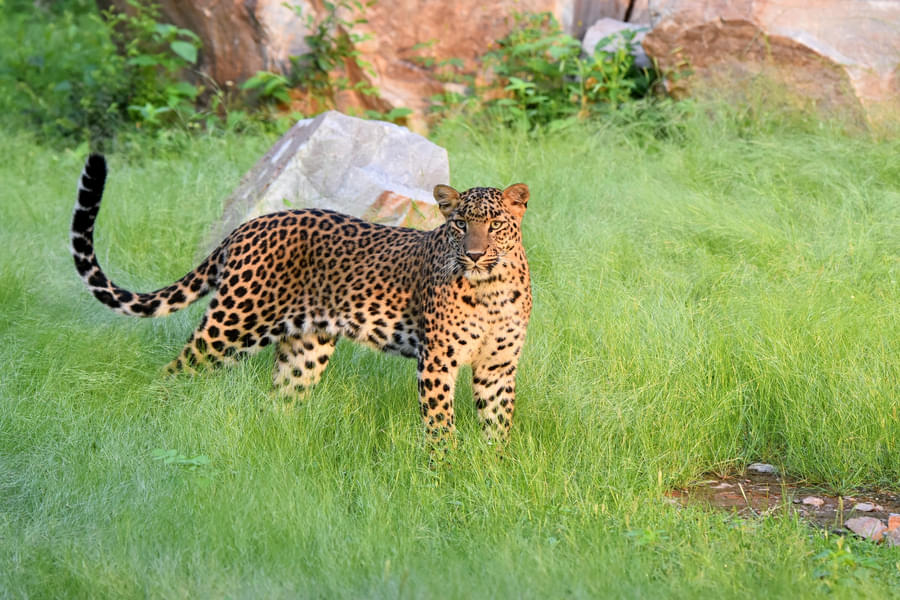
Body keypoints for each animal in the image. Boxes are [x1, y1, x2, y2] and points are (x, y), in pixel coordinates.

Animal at [74, 154, 536, 446]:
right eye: (459, 225)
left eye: (495, 224)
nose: (474, 254)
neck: (491, 290)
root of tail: (248, 225)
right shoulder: (437, 360)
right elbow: (441, 426)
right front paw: (444, 473)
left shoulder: (497, 367)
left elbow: (498, 426)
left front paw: (493, 473)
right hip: (232, 326)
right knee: (173, 372)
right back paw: (156, 427)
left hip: (305, 348)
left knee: (277, 403)